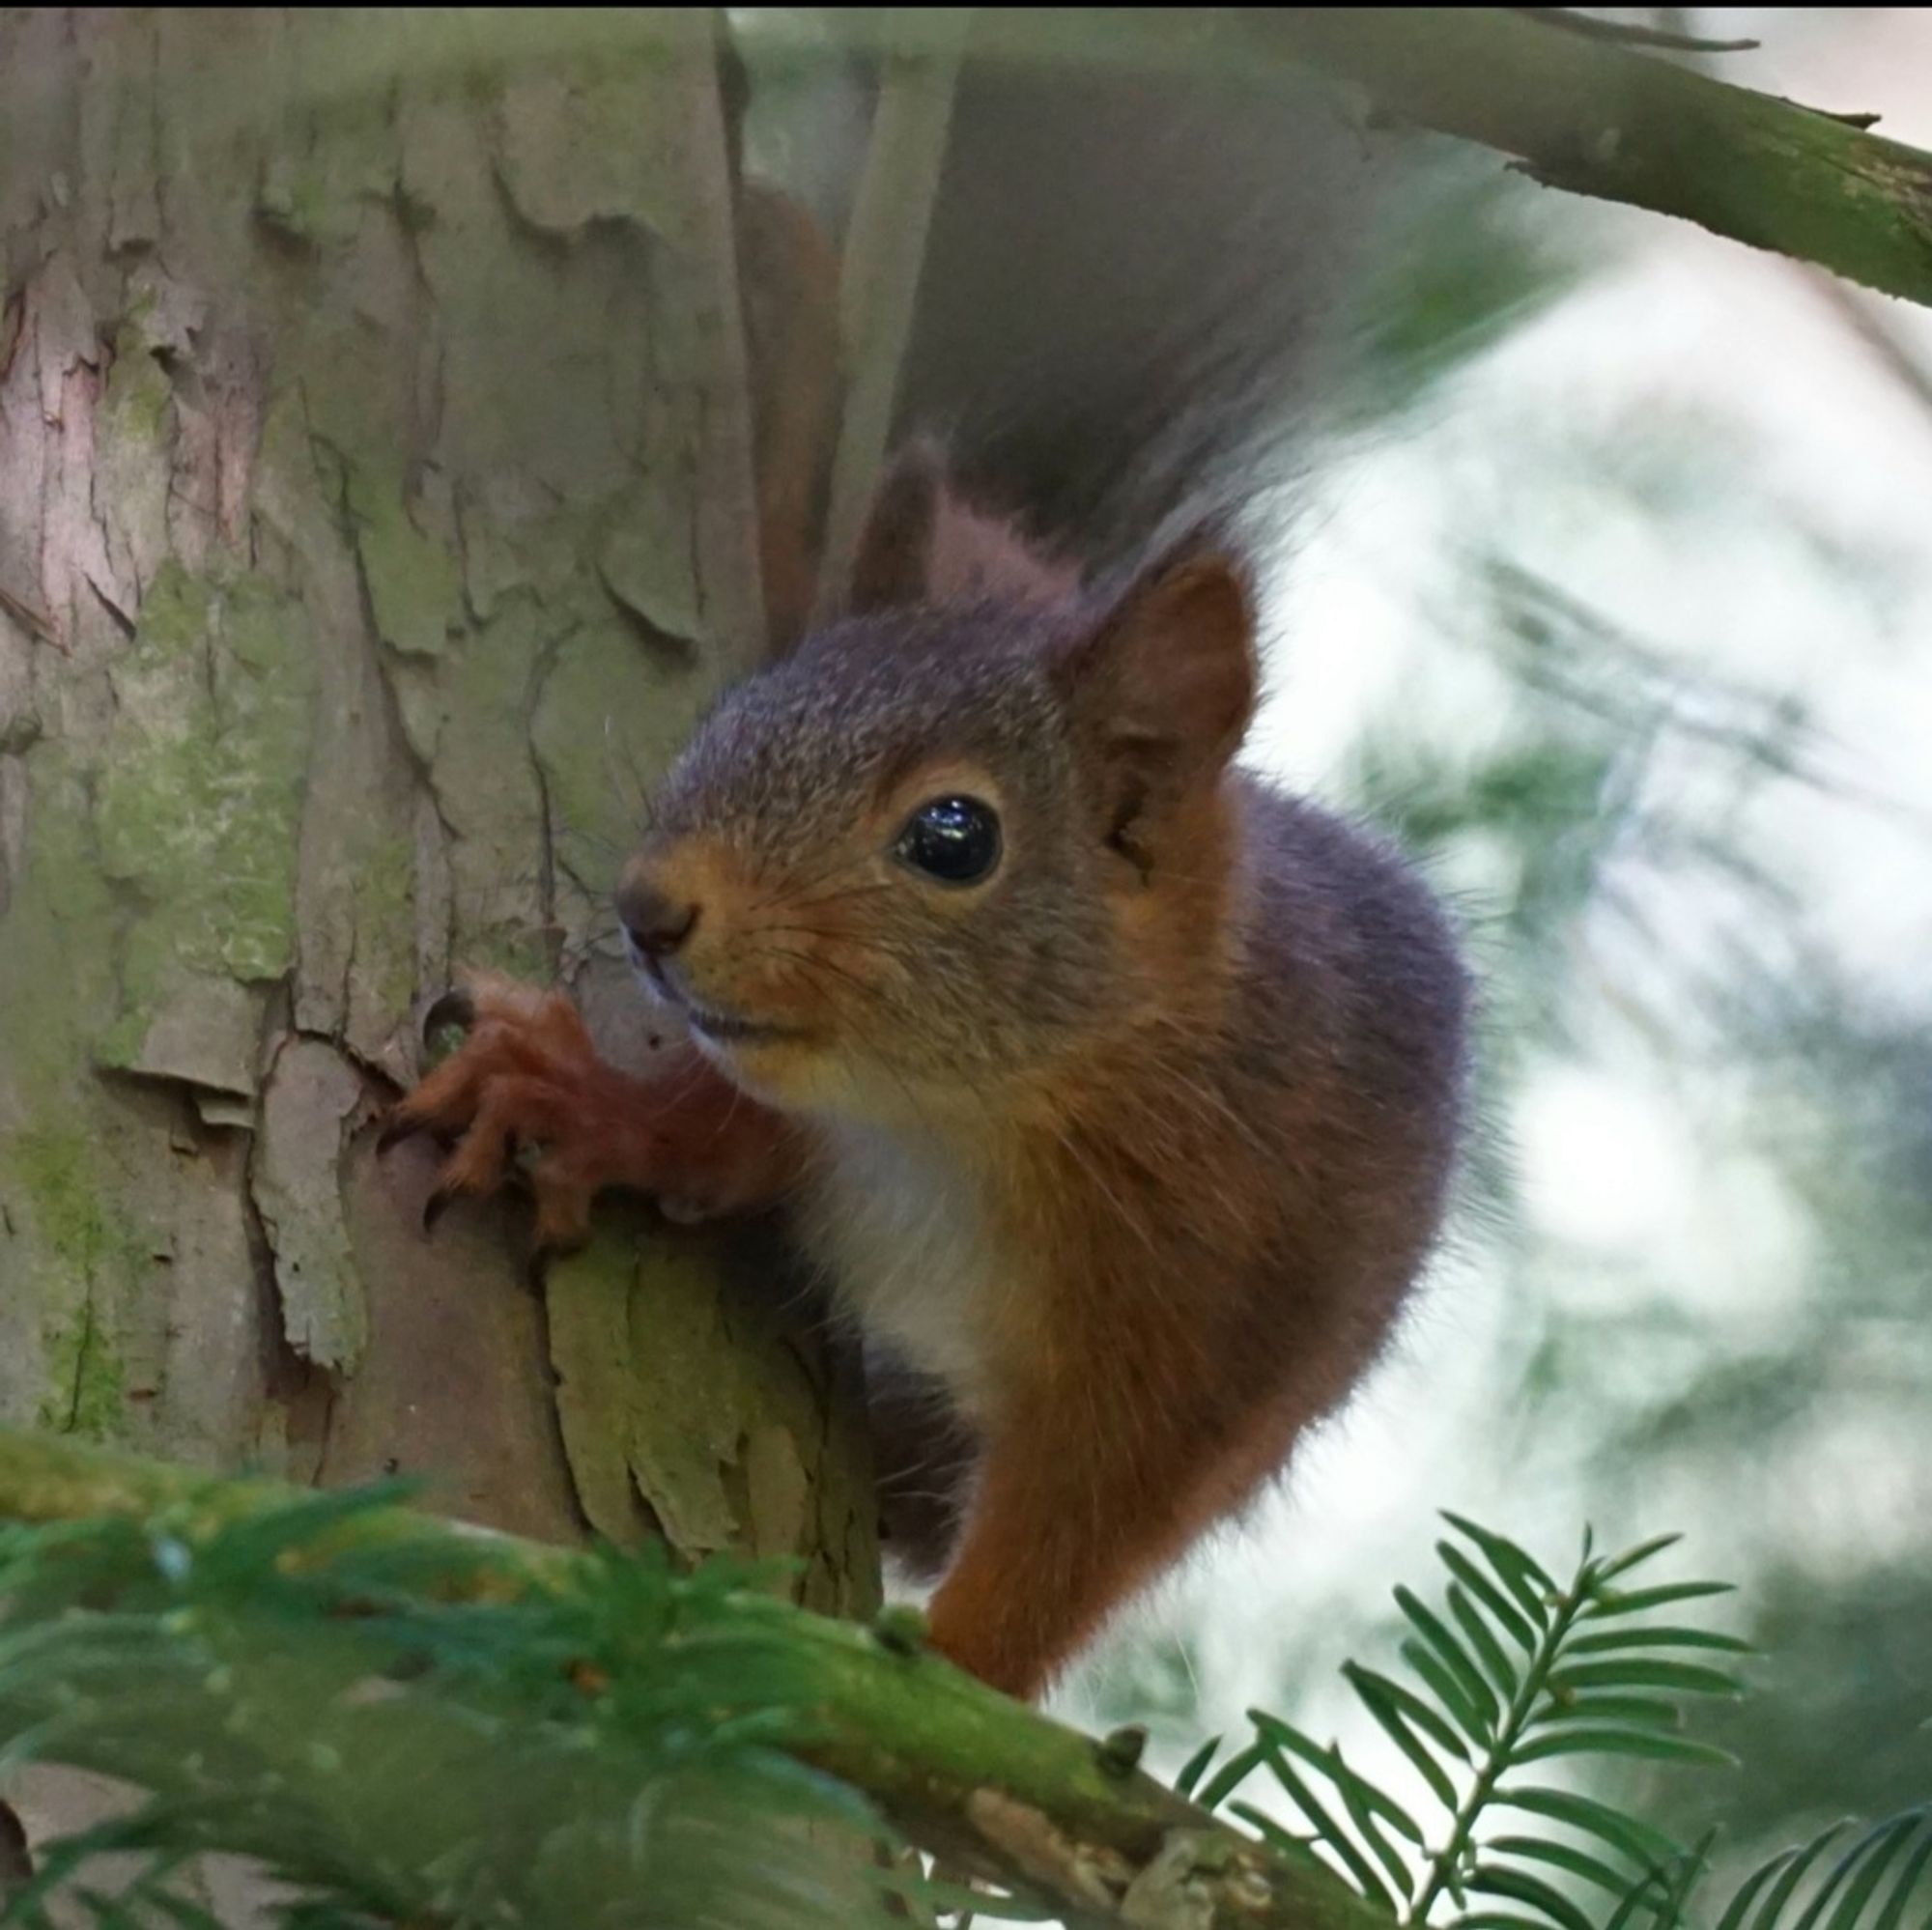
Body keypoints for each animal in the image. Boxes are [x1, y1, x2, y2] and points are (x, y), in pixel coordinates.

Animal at [388, 442, 1461, 1708]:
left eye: (954, 838)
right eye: (742, 710)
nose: (650, 912)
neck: (953, 1117)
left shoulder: (1208, 1326)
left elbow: (1081, 1528)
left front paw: (932, 1687)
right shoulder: (809, 1120)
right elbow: (717, 1140)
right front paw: (583, 1101)